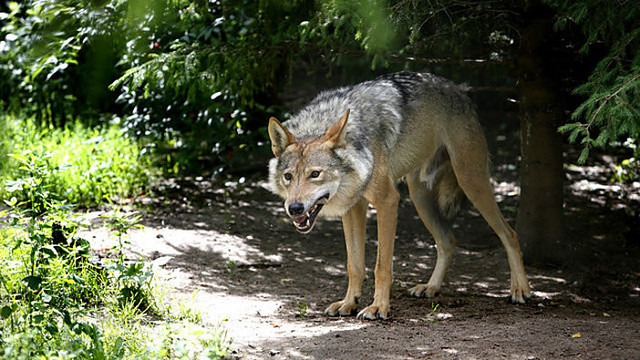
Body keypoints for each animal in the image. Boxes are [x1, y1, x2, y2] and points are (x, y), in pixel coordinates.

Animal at [264, 71, 528, 320]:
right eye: (288, 176)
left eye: (315, 174)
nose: (294, 209)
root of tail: (458, 89)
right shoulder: (353, 207)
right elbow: (354, 265)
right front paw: (349, 303)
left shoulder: (387, 201)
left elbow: (381, 267)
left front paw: (378, 307)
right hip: (420, 196)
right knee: (448, 241)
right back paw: (431, 287)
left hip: (471, 181)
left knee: (510, 234)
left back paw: (520, 290)